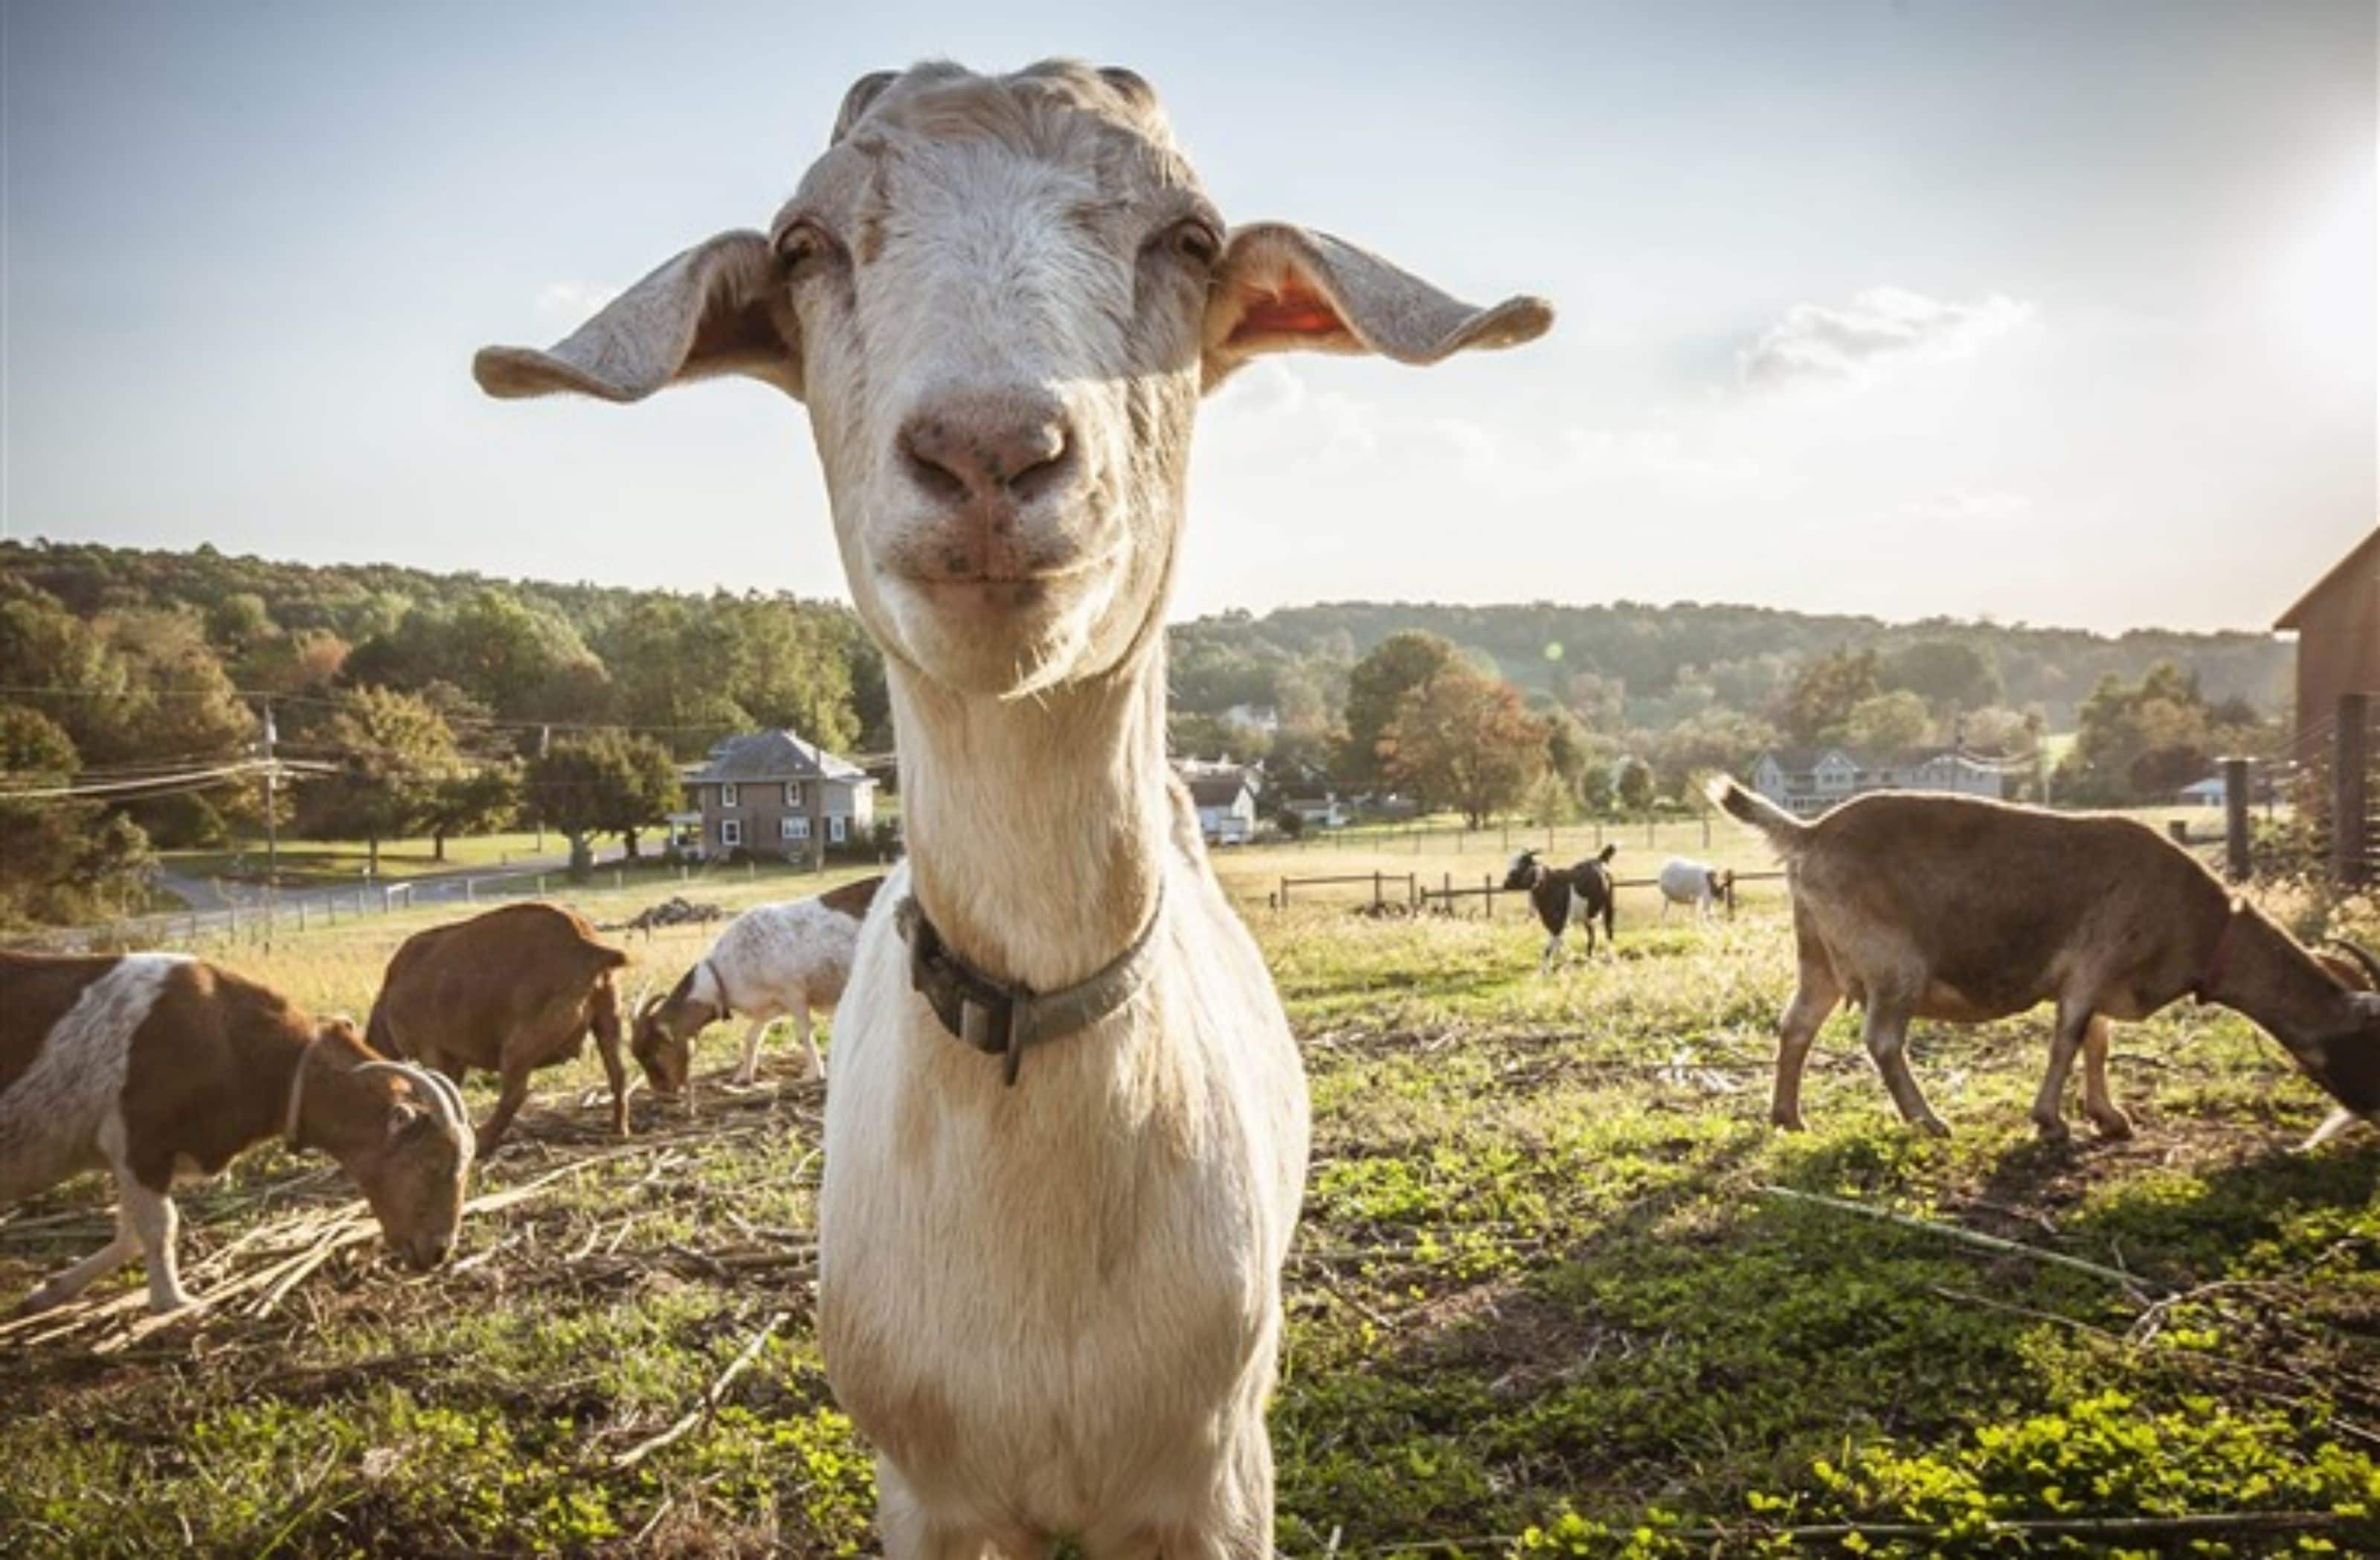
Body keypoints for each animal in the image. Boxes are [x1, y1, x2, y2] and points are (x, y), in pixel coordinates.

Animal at [2, 951, 470, 1314]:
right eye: (432, 1164)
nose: (438, 1251)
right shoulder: (140, 1140)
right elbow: (158, 1226)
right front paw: (174, 1303)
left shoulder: (134, 1158)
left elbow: (130, 1233)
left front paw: (51, 1291)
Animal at [367, 903, 633, 1155]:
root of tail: (587, 947)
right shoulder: (455, 1058)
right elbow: (454, 1093)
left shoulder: (432, 1050)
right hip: (609, 1019)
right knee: (618, 1073)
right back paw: (619, 1129)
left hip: (519, 1046)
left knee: (514, 1094)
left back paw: (484, 1141)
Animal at [631, 876, 885, 1093]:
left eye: (653, 1053)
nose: (662, 1091)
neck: (722, 972)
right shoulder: (770, 1005)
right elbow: (752, 1037)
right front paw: (743, 1076)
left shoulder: (793, 993)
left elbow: (804, 1034)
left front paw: (814, 1074)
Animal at [1505, 845, 1618, 968]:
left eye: (1522, 864)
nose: (1506, 884)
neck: (1549, 885)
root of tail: (1601, 859)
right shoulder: (1551, 922)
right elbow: (1555, 946)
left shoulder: (1560, 923)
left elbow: (1552, 947)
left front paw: (1556, 967)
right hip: (1587, 914)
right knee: (1592, 934)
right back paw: (1590, 961)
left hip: (1608, 904)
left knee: (1609, 930)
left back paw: (1609, 959)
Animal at [1712, 777, 2380, 1142]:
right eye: (2372, 1039)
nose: (2370, 1112)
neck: (2209, 926)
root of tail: (1808, 832)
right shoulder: (2092, 965)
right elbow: (2069, 1038)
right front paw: (2051, 1121)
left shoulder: (2107, 980)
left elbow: (2098, 1043)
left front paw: (2109, 1116)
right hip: (1893, 963)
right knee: (1881, 1038)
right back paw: (1927, 1119)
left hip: (1817, 956)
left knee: (1797, 1023)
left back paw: (1787, 1117)